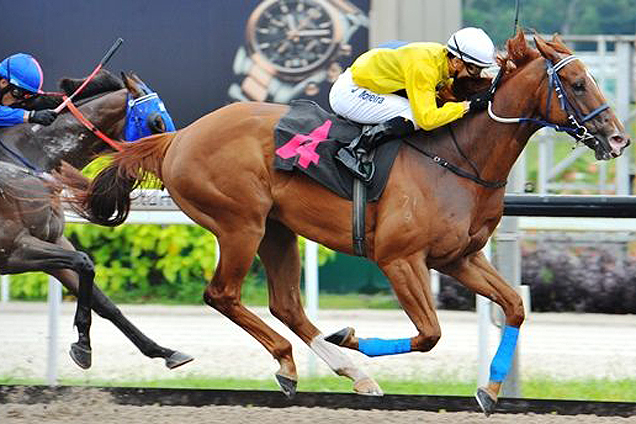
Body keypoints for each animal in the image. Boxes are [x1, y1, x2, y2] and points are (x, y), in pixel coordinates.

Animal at [0, 72, 191, 372]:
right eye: (156, 122)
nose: (178, 158)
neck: (26, 162)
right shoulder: (14, 250)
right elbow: (84, 262)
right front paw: (83, 345)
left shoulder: (51, 242)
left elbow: (103, 300)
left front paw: (163, 351)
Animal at [72, 32, 628, 414]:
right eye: (577, 82)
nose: (619, 139)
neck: (458, 157)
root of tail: (178, 137)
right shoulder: (399, 258)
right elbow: (430, 334)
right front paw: (350, 336)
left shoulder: (458, 258)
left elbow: (513, 306)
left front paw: (489, 390)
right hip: (239, 224)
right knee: (223, 295)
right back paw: (304, 360)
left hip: (277, 229)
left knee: (286, 304)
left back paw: (344, 372)